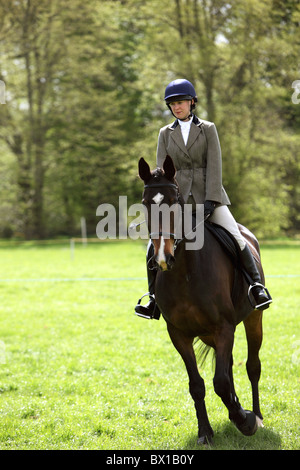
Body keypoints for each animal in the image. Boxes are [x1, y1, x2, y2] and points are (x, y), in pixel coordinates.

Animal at [138, 156, 264, 446]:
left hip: (253, 319)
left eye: (175, 200)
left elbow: (221, 382)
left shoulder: (223, 328)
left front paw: (246, 420)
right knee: (228, 368)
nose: (162, 258)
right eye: (145, 202)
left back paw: (257, 415)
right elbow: (198, 384)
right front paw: (205, 431)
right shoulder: (179, 334)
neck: (185, 272)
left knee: (252, 367)